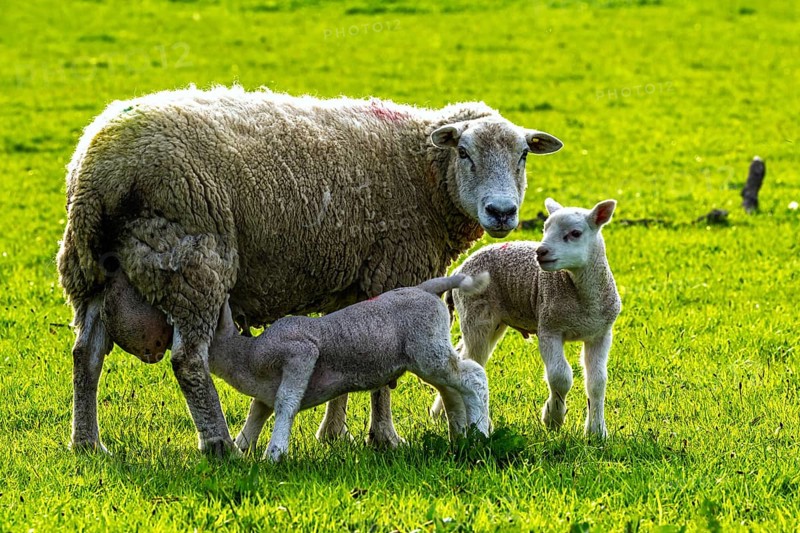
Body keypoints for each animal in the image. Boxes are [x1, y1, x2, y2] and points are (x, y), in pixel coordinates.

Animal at [202, 273, 492, 462]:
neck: (247, 356)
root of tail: (425, 288)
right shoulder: (265, 393)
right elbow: (256, 413)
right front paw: (241, 448)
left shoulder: (300, 353)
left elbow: (286, 403)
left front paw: (274, 454)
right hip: (428, 354)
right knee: (452, 390)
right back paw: (460, 435)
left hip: (428, 350)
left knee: (474, 376)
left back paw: (480, 431)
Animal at [430, 198, 621, 438]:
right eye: (545, 229)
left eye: (575, 233)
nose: (541, 252)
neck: (584, 302)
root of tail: (460, 268)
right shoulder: (549, 328)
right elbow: (560, 376)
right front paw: (553, 418)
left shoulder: (600, 334)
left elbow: (597, 381)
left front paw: (596, 431)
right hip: (477, 316)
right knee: (470, 362)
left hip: (492, 322)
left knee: (459, 357)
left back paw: (440, 414)